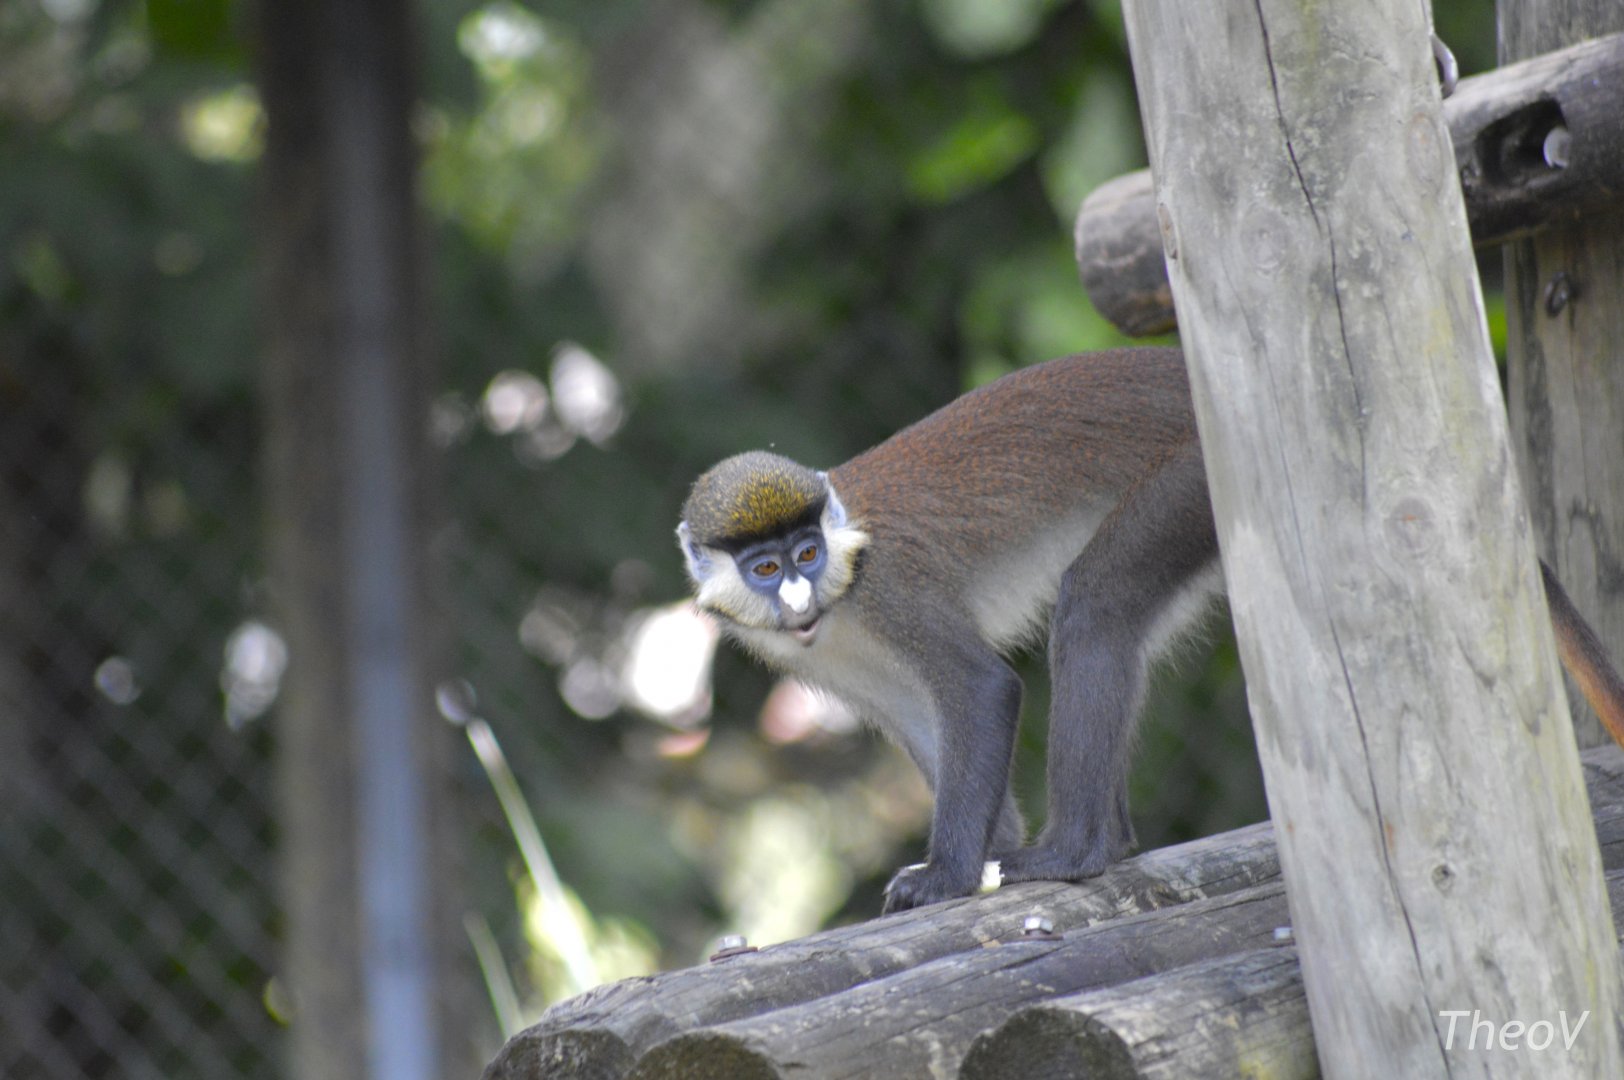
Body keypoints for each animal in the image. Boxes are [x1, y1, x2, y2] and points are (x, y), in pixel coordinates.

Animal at [677, 346, 1624, 914]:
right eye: (766, 570)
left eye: (805, 553)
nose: (798, 595)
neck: (839, 593)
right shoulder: (825, 651)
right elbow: (925, 722)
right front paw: (984, 851)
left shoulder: (890, 594)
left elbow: (981, 691)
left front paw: (948, 874)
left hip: (1193, 479)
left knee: (1094, 605)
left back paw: (1078, 850)